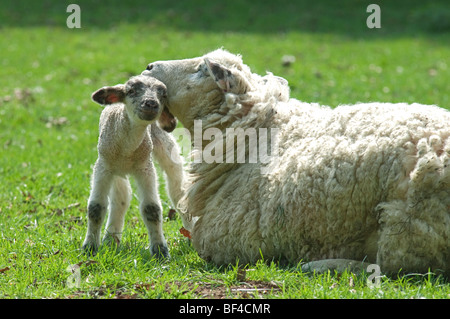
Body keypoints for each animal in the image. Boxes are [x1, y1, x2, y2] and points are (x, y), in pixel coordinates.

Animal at [81, 75, 191, 260]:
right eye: (131, 91)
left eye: (163, 95)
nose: (151, 103)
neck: (127, 148)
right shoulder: (103, 166)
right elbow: (96, 208)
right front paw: (89, 249)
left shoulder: (145, 167)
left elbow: (151, 209)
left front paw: (160, 252)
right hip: (115, 170)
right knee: (121, 197)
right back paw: (110, 240)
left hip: (164, 145)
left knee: (178, 190)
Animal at [142, 48, 450, 276]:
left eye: (201, 69)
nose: (148, 67)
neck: (254, 131)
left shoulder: (232, 243)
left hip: (408, 227)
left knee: (398, 268)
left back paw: (321, 266)